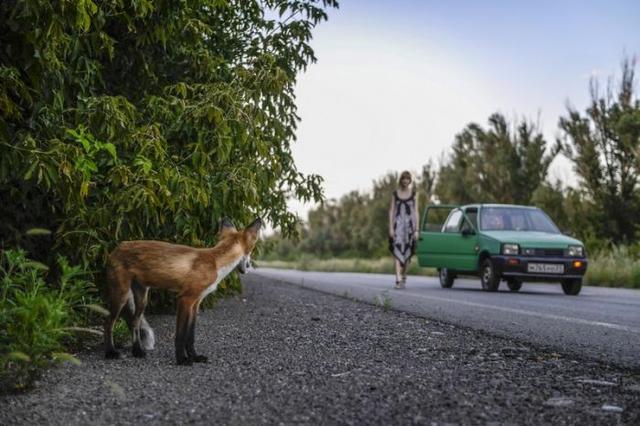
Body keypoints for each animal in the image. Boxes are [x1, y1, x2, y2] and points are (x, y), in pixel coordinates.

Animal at [104, 218, 262, 364]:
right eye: (251, 250)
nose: (248, 267)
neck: (215, 263)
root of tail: (118, 246)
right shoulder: (184, 299)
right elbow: (180, 335)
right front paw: (182, 359)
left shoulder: (196, 302)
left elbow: (190, 336)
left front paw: (195, 356)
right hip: (121, 295)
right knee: (108, 322)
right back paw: (110, 352)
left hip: (142, 299)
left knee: (134, 322)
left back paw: (137, 351)